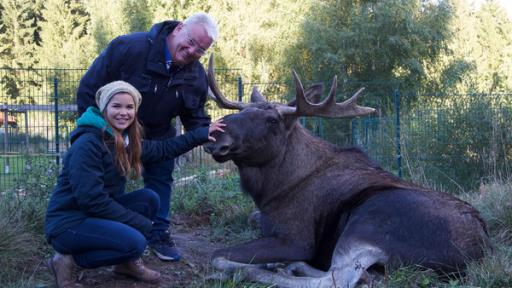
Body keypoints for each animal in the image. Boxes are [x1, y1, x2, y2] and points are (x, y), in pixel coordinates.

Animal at [203, 55, 488, 286]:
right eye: (243, 111)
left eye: (272, 120)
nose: (216, 136)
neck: (273, 189)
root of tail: (479, 251)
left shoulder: (296, 239)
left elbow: (217, 254)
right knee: (358, 276)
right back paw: (288, 266)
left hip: (368, 221)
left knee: (339, 278)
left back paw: (260, 269)